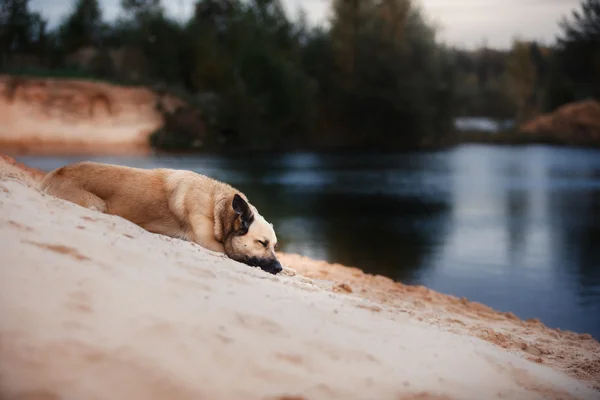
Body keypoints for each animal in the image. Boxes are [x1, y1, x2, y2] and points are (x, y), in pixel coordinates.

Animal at [39, 160, 284, 276]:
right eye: (261, 243)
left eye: (274, 245)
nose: (279, 267)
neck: (218, 207)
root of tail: (52, 174)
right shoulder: (209, 244)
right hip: (95, 205)